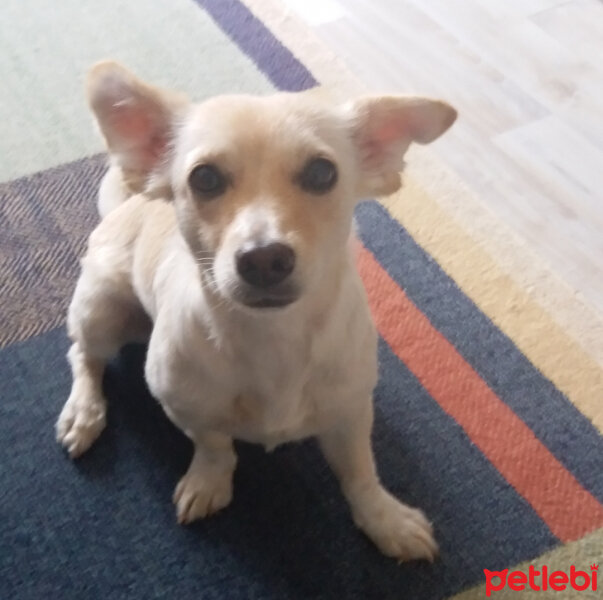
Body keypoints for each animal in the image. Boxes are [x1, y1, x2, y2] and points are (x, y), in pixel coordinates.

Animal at [56, 62, 458, 564]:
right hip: (102, 309)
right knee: (83, 356)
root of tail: (131, 200)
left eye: (322, 172)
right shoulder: (185, 406)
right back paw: (84, 412)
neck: (273, 338)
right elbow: (214, 446)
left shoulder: (350, 412)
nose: (264, 258)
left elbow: (360, 472)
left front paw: (385, 520)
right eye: (205, 178)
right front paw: (208, 482)